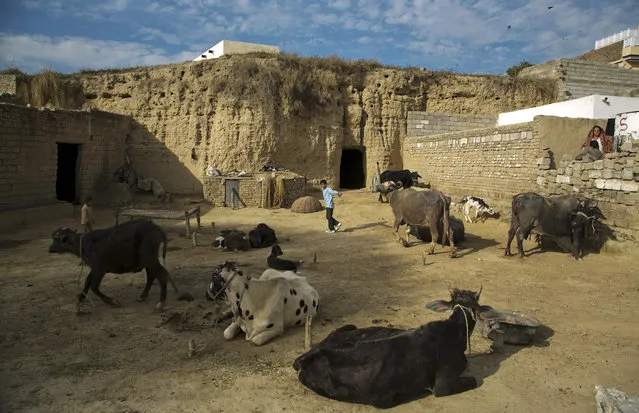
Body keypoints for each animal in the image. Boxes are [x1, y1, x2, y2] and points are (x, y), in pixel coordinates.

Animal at [47, 219, 179, 312]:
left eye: (56, 239)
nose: (50, 249)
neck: (85, 244)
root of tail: (156, 228)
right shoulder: (95, 268)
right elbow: (87, 282)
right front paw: (80, 299)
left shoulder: (99, 269)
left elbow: (93, 286)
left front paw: (112, 302)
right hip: (147, 260)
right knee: (152, 275)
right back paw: (142, 296)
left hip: (149, 257)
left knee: (161, 274)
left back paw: (160, 304)